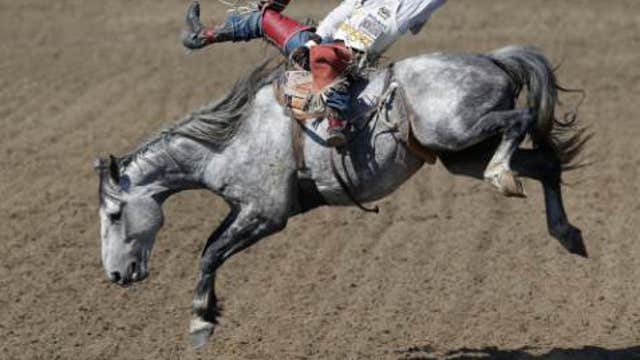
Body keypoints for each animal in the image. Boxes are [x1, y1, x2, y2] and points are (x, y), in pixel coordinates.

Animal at [92, 46, 588, 348]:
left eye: (114, 214)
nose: (115, 275)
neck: (228, 141)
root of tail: (493, 59)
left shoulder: (265, 214)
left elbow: (211, 253)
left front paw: (199, 323)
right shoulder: (245, 210)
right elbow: (210, 248)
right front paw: (209, 313)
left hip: (459, 133)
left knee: (520, 120)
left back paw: (504, 177)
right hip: (461, 153)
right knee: (545, 164)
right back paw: (566, 233)